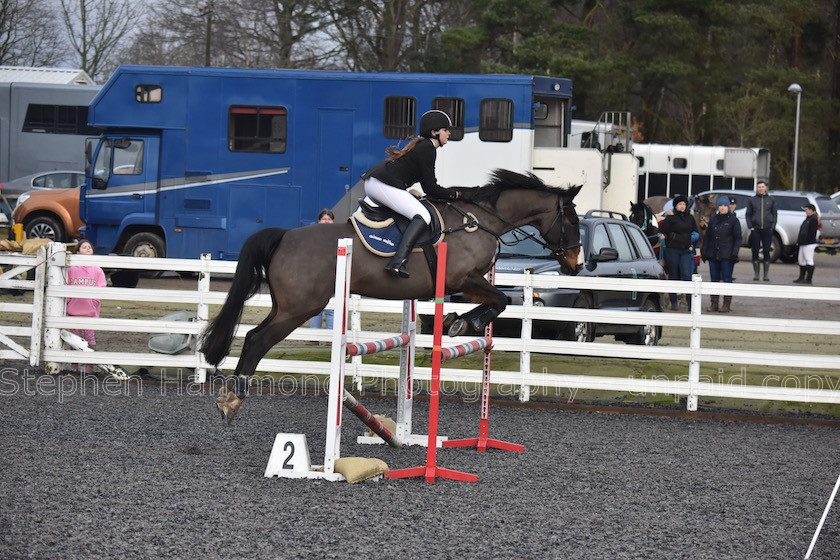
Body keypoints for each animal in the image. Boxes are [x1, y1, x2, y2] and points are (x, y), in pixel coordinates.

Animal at [203, 168, 584, 422]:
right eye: (572, 221)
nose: (576, 264)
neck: (480, 220)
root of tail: (284, 236)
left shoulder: (465, 283)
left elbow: (496, 302)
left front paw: (459, 322)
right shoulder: (463, 278)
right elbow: (500, 301)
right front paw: (465, 324)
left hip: (287, 305)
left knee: (253, 336)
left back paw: (229, 397)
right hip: (300, 308)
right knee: (257, 339)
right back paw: (232, 399)